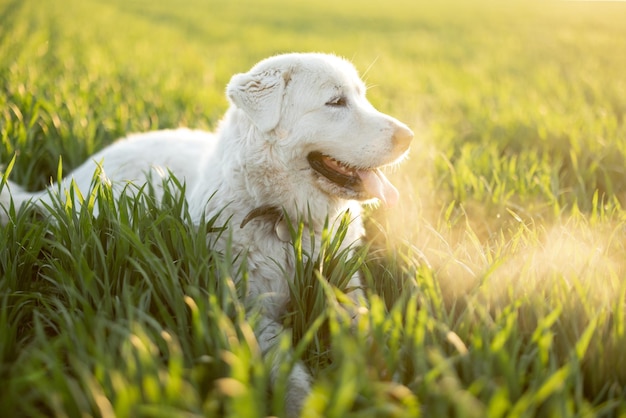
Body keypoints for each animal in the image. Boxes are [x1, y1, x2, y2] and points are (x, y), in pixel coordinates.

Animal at [0, 53, 412, 414]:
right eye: (335, 102)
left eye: (362, 97)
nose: (409, 137)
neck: (285, 220)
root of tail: (68, 180)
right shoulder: (252, 313)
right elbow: (288, 372)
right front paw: (302, 404)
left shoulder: (347, 291)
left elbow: (367, 335)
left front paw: (388, 382)